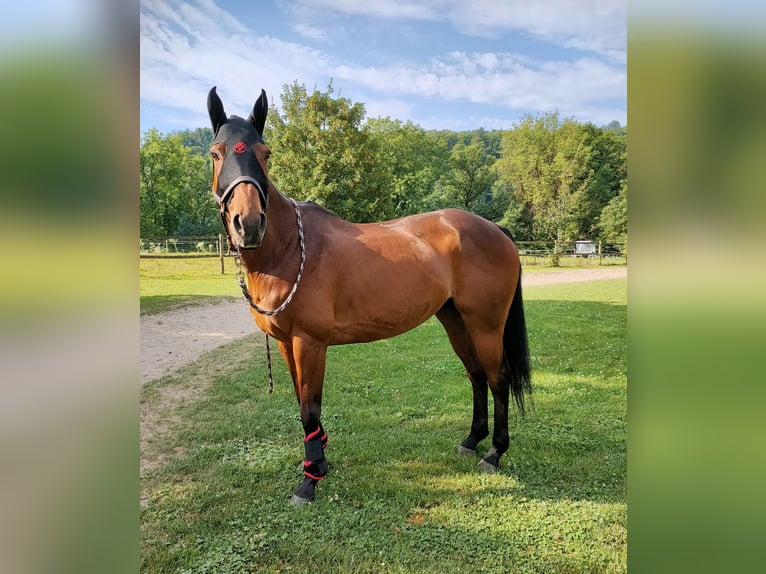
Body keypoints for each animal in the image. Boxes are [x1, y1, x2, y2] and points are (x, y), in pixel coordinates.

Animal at [210, 88, 536, 506]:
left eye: (265, 153)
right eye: (216, 153)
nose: (248, 224)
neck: (289, 250)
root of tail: (495, 229)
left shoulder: (309, 343)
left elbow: (309, 409)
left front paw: (309, 481)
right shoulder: (285, 344)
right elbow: (301, 403)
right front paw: (318, 464)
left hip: (486, 325)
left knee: (498, 379)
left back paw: (494, 453)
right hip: (455, 320)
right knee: (476, 375)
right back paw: (471, 441)